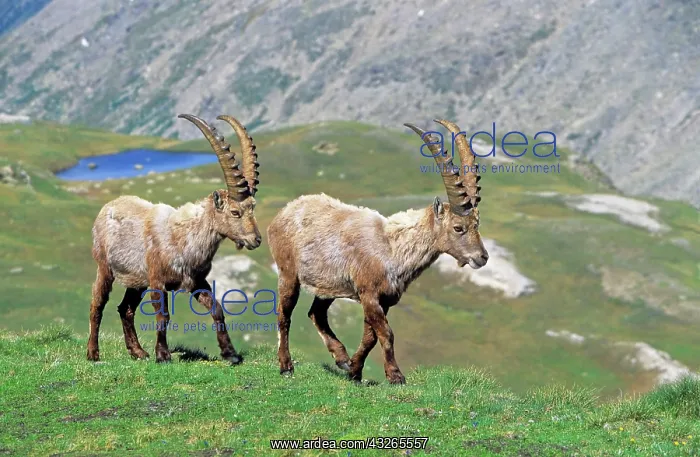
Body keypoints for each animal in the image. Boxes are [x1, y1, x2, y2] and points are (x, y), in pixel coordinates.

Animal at [87, 114, 262, 364]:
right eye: (235, 212)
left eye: (252, 209)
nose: (256, 239)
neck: (185, 239)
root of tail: (108, 206)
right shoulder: (157, 281)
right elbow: (163, 316)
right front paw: (163, 355)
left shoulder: (196, 281)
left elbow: (217, 309)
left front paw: (230, 353)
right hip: (105, 268)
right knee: (97, 304)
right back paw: (93, 352)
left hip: (137, 281)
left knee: (125, 308)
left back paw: (138, 352)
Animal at [267, 119, 489, 384]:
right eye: (458, 227)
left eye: (477, 224)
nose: (482, 258)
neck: (392, 248)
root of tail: (282, 215)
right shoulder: (369, 294)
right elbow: (386, 333)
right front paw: (395, 375)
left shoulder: (385, 300)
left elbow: (370, 337)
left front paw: (354, 371)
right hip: (288, 273)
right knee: (284, 315)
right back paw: (286, 365)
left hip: (327, 285)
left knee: (315, 313)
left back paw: (341, 358)